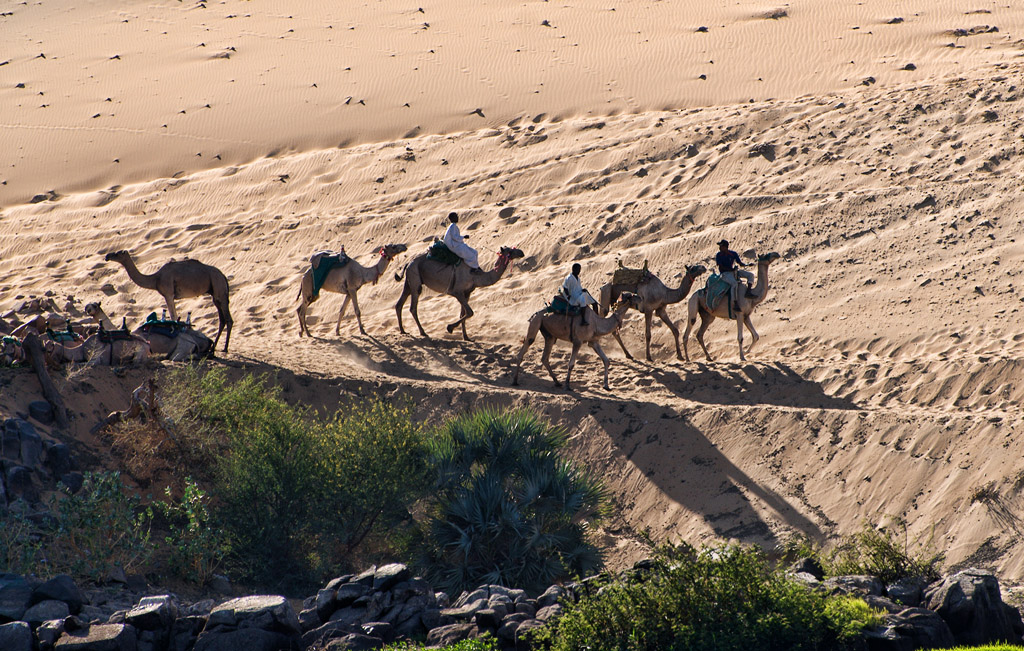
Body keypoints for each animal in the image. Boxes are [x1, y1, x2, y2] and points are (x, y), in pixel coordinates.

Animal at [393, 246, 524, 343]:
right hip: (415, 279)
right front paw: (449, 328)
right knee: (413, 307)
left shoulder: (467, 293)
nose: (521, 252)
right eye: (510, 251)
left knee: (399, 304)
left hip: (409, 281)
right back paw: (423, 332)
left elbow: (463, 313)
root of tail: (408, 263)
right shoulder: (456, 292)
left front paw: (466, 337)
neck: (475, 276)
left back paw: (403, 330)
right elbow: (470, 312)